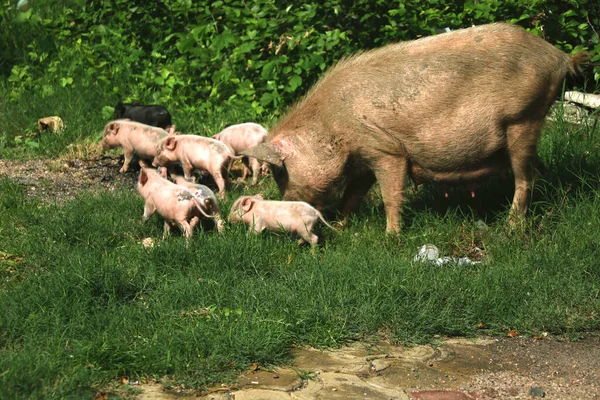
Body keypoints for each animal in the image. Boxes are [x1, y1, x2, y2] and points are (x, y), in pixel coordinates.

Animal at [239, 23, 584, 233]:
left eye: (280, 172)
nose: (289, 203)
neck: (332, 124)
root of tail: (560, 56)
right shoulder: (364, 158)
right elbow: (352, 194)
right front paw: (341, 227)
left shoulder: (385, 149)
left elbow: (391, 194)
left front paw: (391, 236)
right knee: (538, 170)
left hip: (523, 119)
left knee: (525, 177)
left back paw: (510, 227)